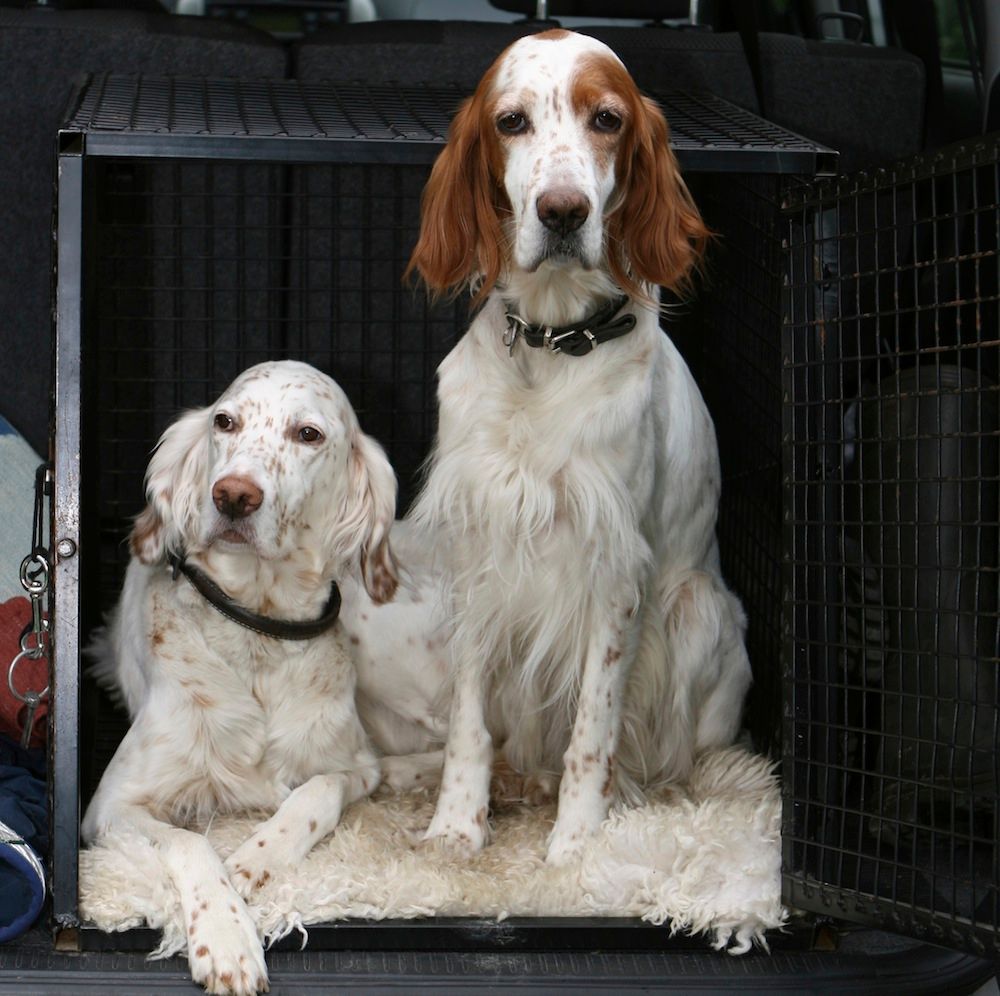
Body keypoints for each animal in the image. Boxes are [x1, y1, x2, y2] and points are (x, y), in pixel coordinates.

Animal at [82, 360, 399, 995]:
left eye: (308, 434)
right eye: (225, 422)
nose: (232, 495)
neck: (258, 632)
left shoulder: (359, 766)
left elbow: (316, 792)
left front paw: (258, 857)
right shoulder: (111, 806)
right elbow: (189, 842)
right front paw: (226, 937)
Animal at [403, 29, 753, 865]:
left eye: (607, 119)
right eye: (511, 122)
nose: (563, 211)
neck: (551, 343)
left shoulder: (615, 564)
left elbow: (594, 724)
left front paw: (579, 840)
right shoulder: (482, 546)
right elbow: (468, 720)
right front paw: (456, 825)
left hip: (698, 611)